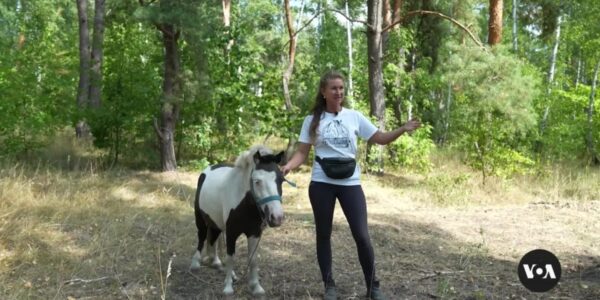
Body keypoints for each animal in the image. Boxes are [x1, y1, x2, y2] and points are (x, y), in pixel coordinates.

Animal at [191, 145, 288, 296]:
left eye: (281, 179)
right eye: (257, 181)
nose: (276, 218)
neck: (244, 203)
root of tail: (208, 169)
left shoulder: (254, 233)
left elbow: (253, 260)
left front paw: (256, 287)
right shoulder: (231, 233)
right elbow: (231, 258)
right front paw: (228, 287)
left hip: (216, 223)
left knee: (213, 239)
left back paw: (217, 263)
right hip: (200, 218)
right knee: (201, 236)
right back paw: (195, 263)